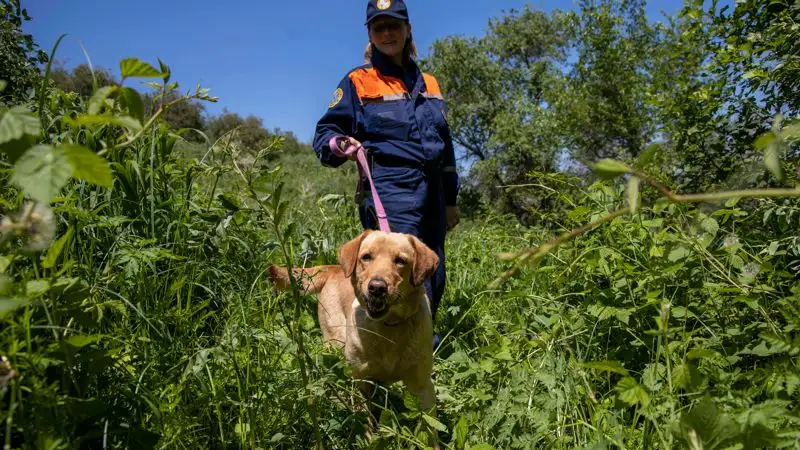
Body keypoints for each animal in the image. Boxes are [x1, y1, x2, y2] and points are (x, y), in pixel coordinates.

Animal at [272, 230, 440, 444]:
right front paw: (368, 440)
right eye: (366, 257)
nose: (377, 287)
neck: (388, 327)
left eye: (401, 261)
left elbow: (430, 430)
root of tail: (335, 268)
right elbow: (365, 419)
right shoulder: (361, 382)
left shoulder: (423, 387)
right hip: (334, 346)